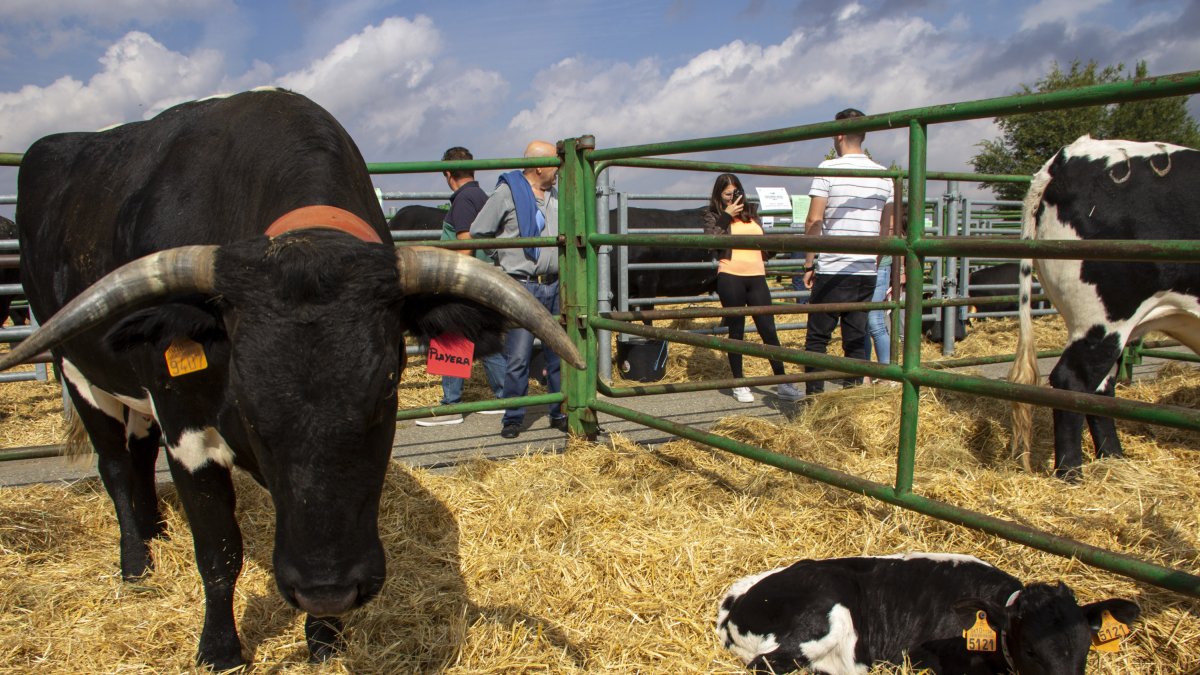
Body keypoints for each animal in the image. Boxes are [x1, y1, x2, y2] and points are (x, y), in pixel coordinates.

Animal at [0, 89, 580, 667]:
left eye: (389, 383)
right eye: (243, 389)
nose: (328, 589)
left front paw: (324, 637)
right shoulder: (186, 426)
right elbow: (218, 549)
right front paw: (220, 649)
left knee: (138, 453)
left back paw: (155, 532)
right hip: (78, 371)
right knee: (117, 465)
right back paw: (137, 563)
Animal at [1003, 133, 1200, 475]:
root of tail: (1066, 156)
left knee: (1099, 388)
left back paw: (1113, 460)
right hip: (1106, 315)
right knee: (1073, 381)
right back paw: (1071, 473)